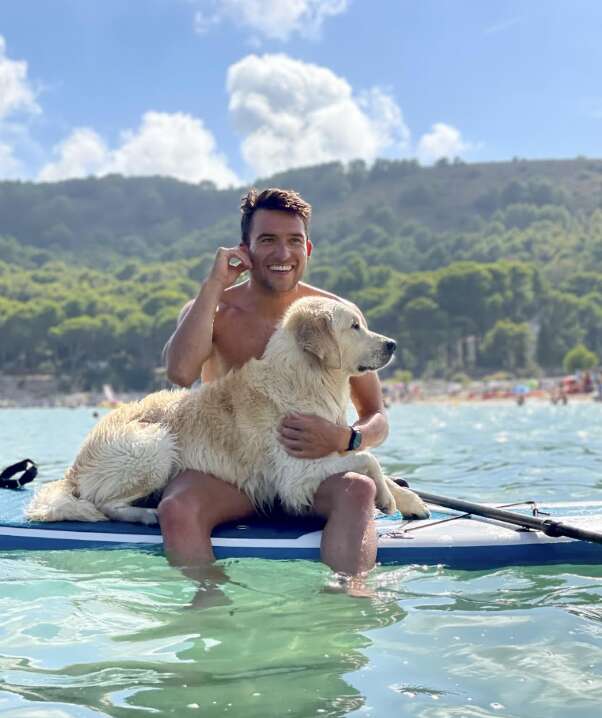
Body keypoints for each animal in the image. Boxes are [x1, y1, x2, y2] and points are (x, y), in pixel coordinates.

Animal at [24, 298, 426, 528]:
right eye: (354, 326)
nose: (392, 344)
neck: (306, 376)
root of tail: (74, 468)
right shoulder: (294, 476)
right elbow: (369, 460)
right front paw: (386, 498)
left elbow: (372, 460)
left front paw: (410, 501)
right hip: (154, 444)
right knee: (103, 503)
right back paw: (146, 514)